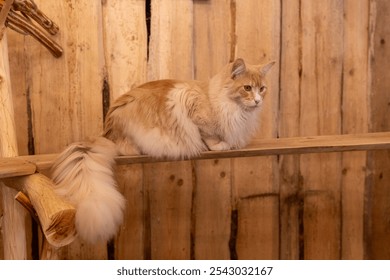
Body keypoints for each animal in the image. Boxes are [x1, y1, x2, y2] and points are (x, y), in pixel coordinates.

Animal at [51, 58, 274, 243]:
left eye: (262, 89)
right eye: (247, 88)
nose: (258, 101)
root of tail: (107, 132)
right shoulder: (189, 104)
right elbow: (207, 134)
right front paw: (220, 144)